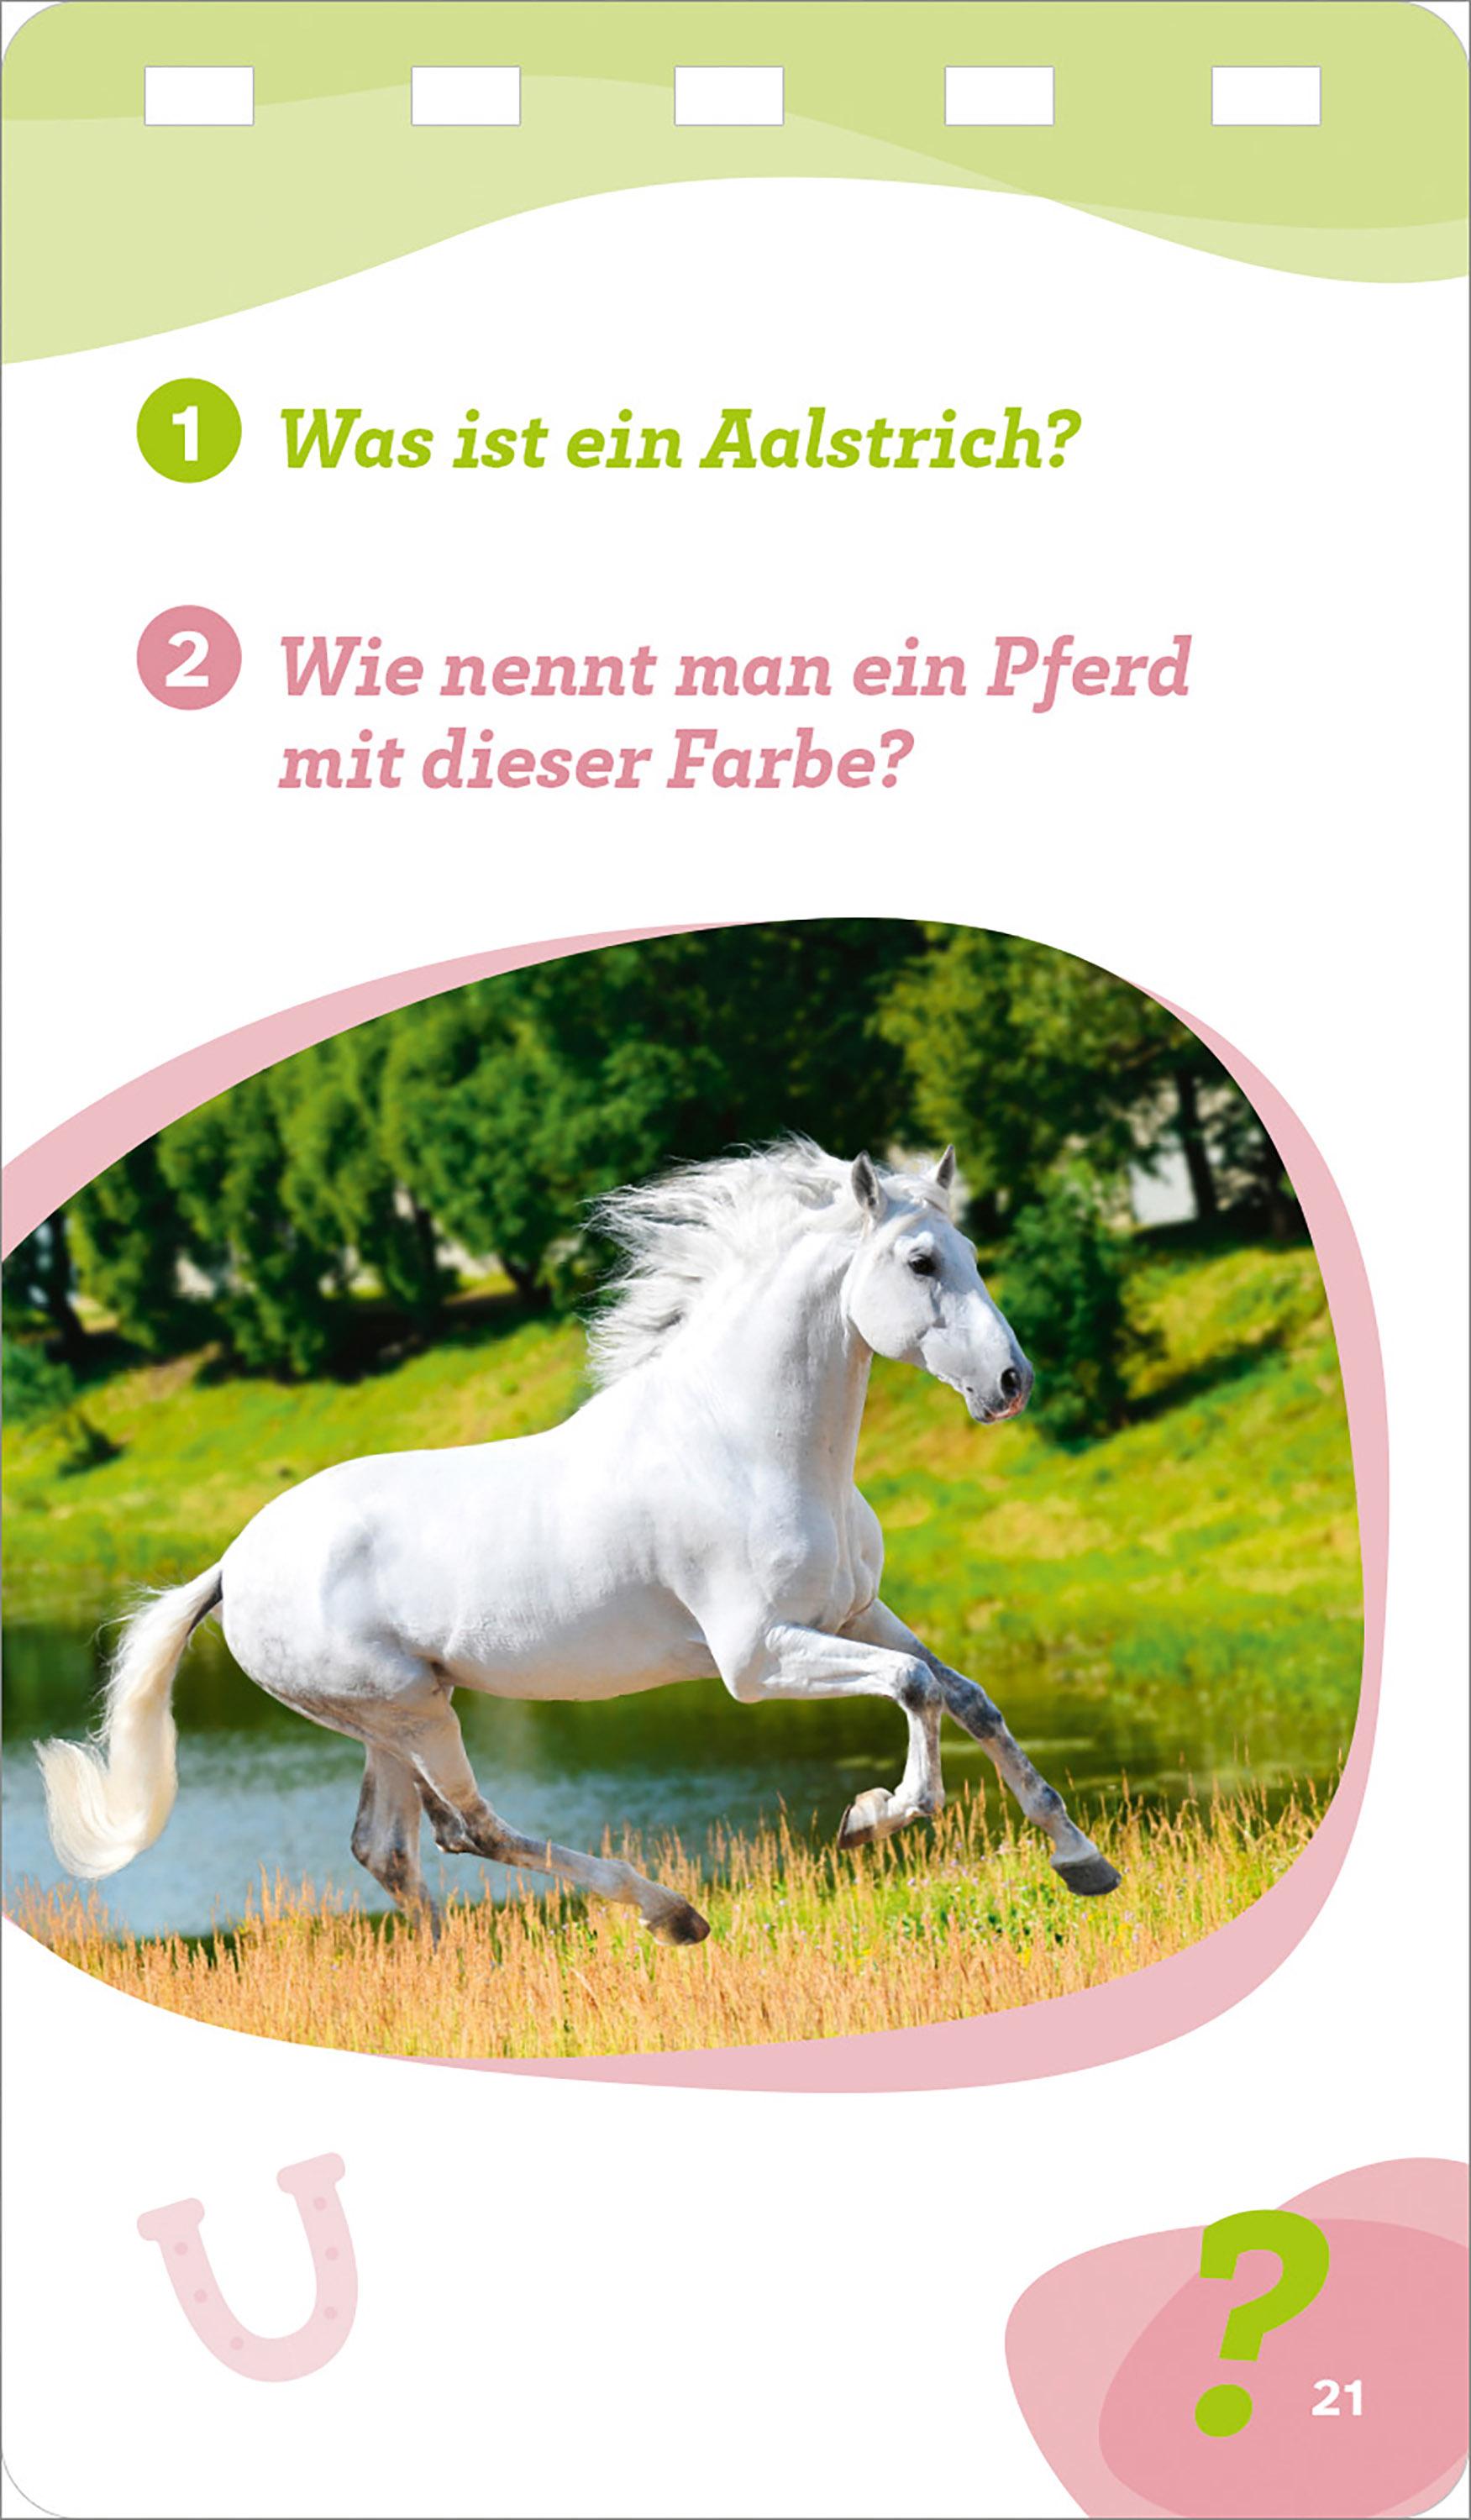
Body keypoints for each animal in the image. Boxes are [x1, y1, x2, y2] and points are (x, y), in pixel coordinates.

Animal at [39, 1138, 1121, 1944]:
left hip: (387, 1720)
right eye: (920, 1262)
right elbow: (914, 1689)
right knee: (468, 1830)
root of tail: (232, 1563)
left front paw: (1081, 1863)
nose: (1011, 1384)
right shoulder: (755, 1660)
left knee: (390, 1847)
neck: (748, 1442)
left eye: (968, 1251)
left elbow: (965, 1694)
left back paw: (460, 1975)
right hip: (409, 1710)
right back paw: (669, 1914)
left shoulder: (855, 1612)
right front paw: (872, 1817)